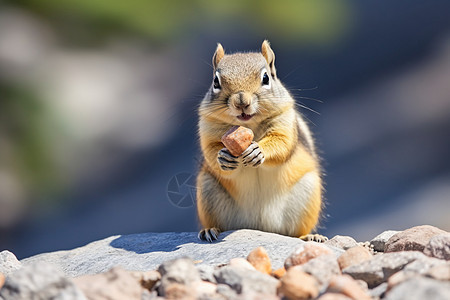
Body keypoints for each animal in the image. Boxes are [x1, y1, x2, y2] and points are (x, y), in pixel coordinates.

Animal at [195, 39, 326, 243]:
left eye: (266, 78)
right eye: (215, 81)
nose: (241, 101)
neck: (249, 125)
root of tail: (261, 226)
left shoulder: (284, 121)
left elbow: (282, 143)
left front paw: (258, 151)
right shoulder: (207, 126)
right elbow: (210, 150)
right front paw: (222, 157)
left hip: (307, 193)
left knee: (296, 233)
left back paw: (310, 237)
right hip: (208, 190)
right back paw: (210, 230)